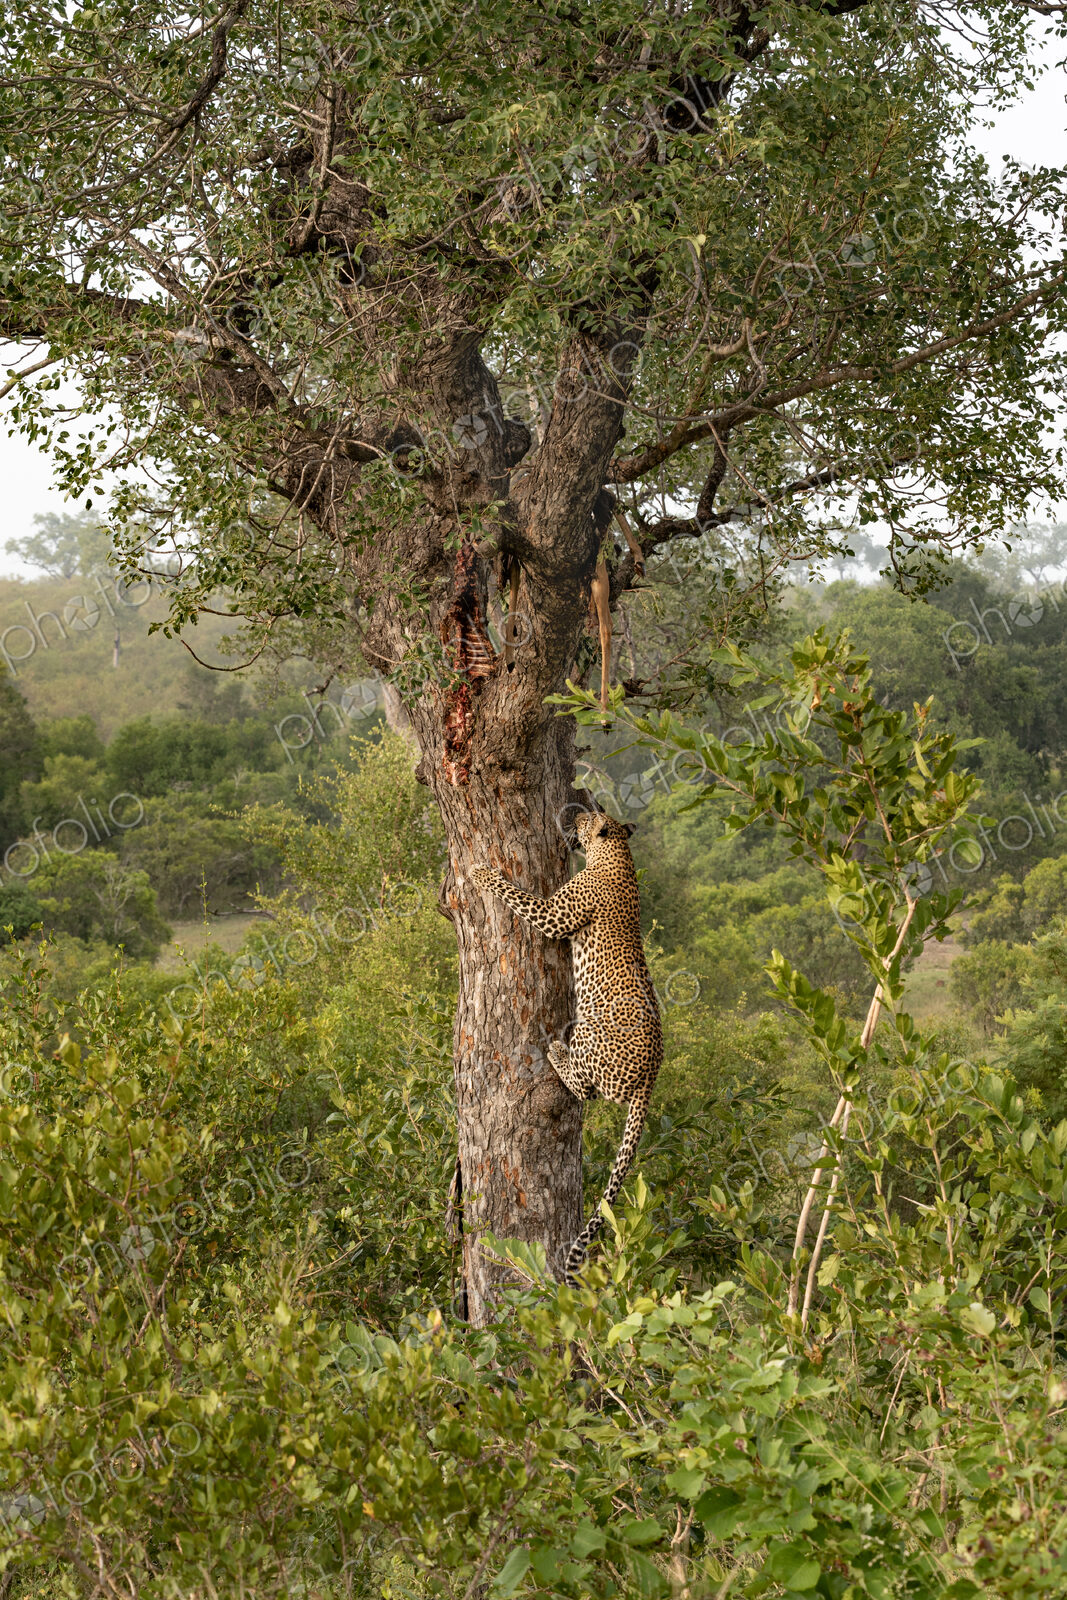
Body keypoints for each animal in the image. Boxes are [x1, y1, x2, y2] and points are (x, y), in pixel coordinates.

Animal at [471, 809, 663, 1282]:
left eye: (590, 815)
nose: (574, 812)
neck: (617, 855)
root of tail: (651, 1079)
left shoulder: (555, 915)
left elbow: (516, 894)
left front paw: (483, 873)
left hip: (590, 1029)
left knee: (587, 1089)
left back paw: (557, 1052)